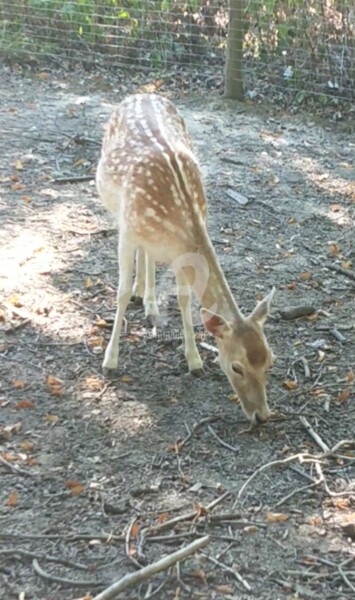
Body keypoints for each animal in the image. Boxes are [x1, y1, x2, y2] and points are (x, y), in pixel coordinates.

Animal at [96, 94, 276, 424]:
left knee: (149, 256)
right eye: (237, 366)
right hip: (118, 211)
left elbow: (184, 299)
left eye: (269, 361)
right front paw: (110, 361)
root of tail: (141, 93)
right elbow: (121, 293)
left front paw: (194, 361)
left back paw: (149, 301)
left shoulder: (180, 251)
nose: (262, 415)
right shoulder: (126, 231)